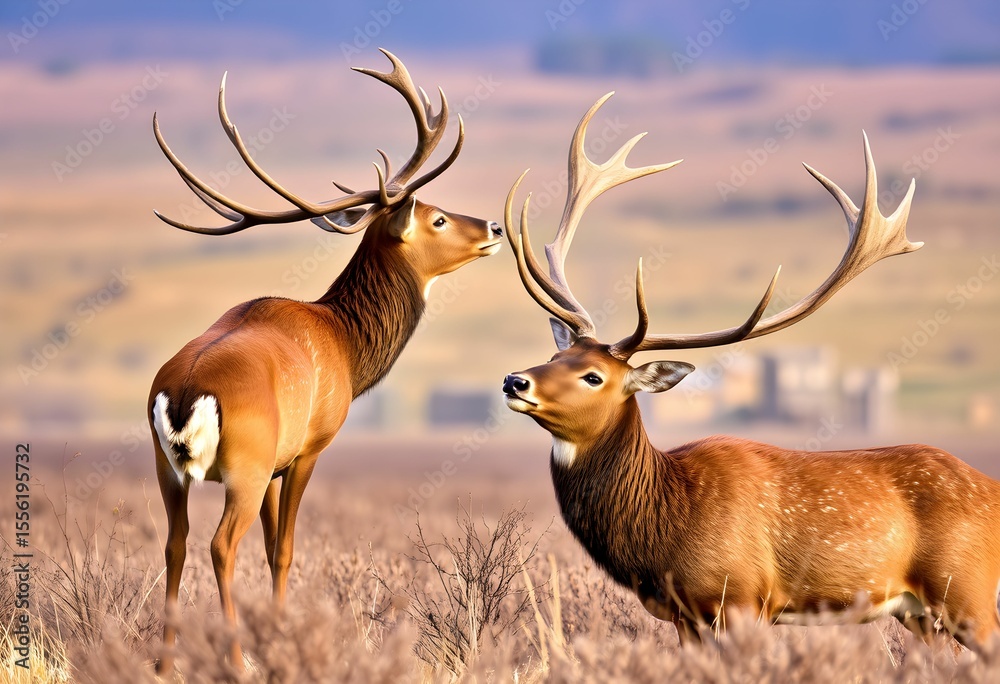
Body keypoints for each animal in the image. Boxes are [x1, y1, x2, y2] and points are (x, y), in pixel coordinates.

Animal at [147, 50, 503, 673]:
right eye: (436, 218)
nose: (494, 227)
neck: (344, 339)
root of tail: (185, 390)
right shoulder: (305, 451)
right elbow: (285, 550)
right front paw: (280, 641)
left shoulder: (274, 467)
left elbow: (270, 548)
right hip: (241, 471)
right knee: (220, 544)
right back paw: (235, 660)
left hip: (171, 471)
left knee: (176, 542)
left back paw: (166, 665)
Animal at [501, 93, 1000, 650]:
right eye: (555, 358)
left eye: (594, 376)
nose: (515, 380)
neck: (664, 529)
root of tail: (994, 494)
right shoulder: (686, 618)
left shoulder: (741, 595)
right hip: (919, 614)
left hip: (967, 590)